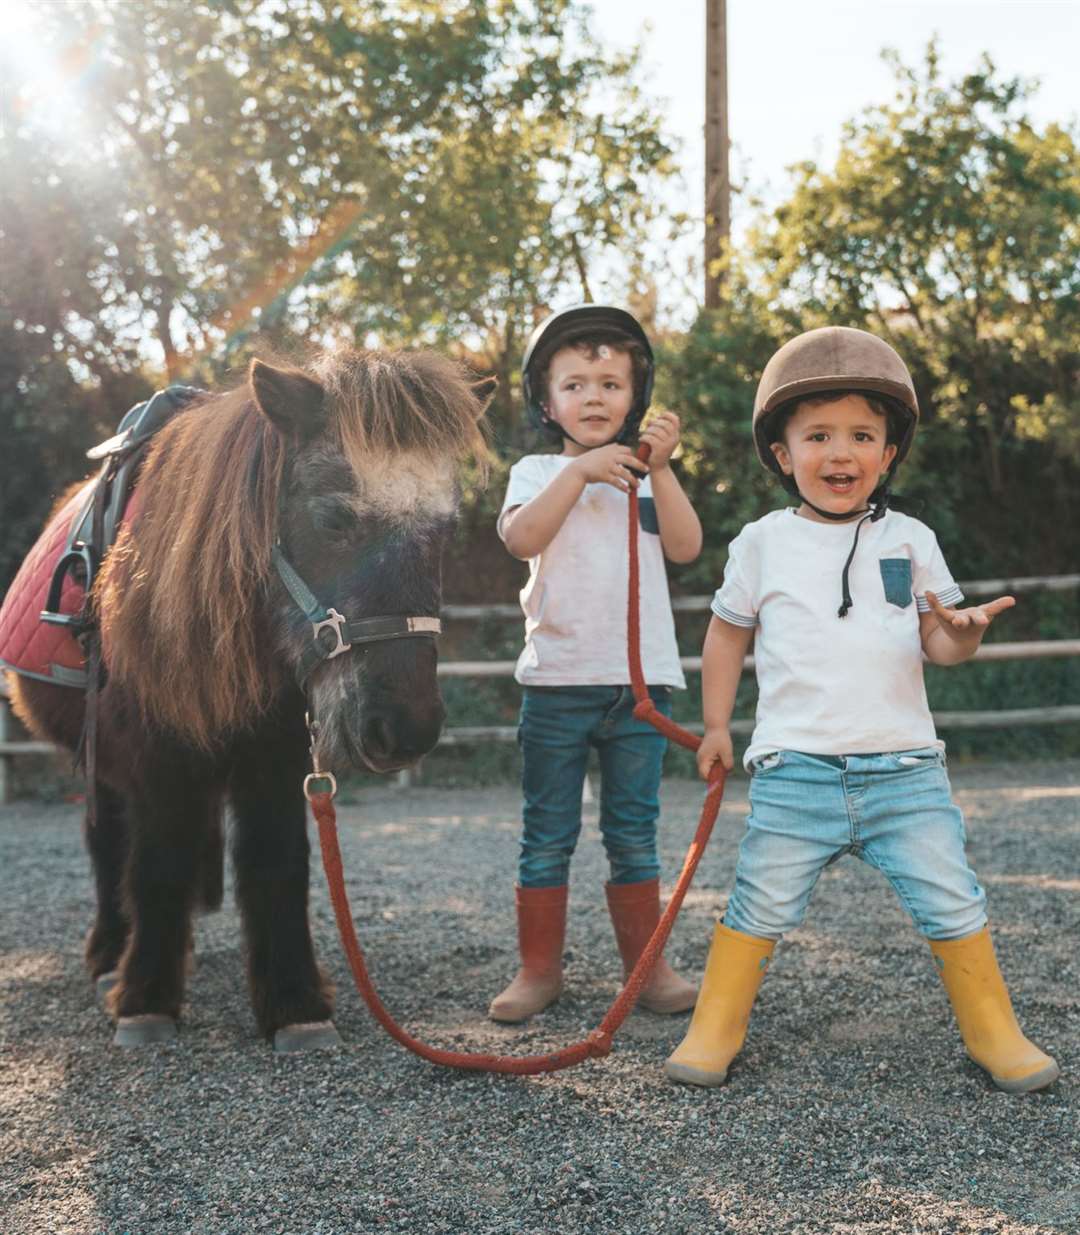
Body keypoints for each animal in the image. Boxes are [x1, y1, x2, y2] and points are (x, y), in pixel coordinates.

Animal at [7, 348, 491, 1052]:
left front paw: (294, 1005)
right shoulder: (156, 759)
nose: (407, 728)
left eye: (447, 529)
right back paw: (108, 957)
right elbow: (156, 861)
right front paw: (145, 1001)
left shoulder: (276, 756)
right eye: (333, 518)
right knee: (108, 840)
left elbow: (274, 862)